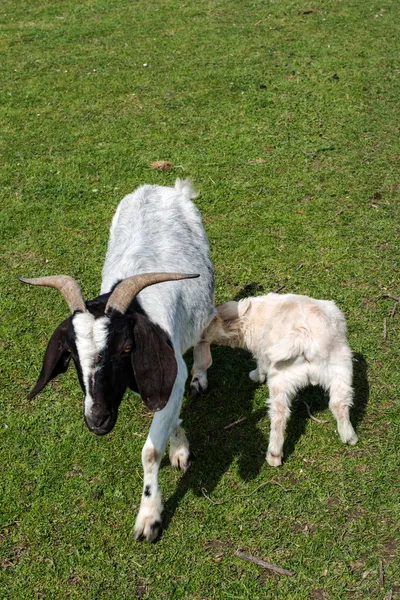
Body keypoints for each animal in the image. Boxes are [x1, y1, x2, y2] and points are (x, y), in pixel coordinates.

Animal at [19, 180, 216, 540]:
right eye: (71, 353)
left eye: (126, 348)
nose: (97, 420)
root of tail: (162, 187)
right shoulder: (163, 381)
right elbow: (171, 415)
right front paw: (179, 448)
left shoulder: (171, 371)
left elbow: (150, 451)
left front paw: (149, 519)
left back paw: (201, 377)